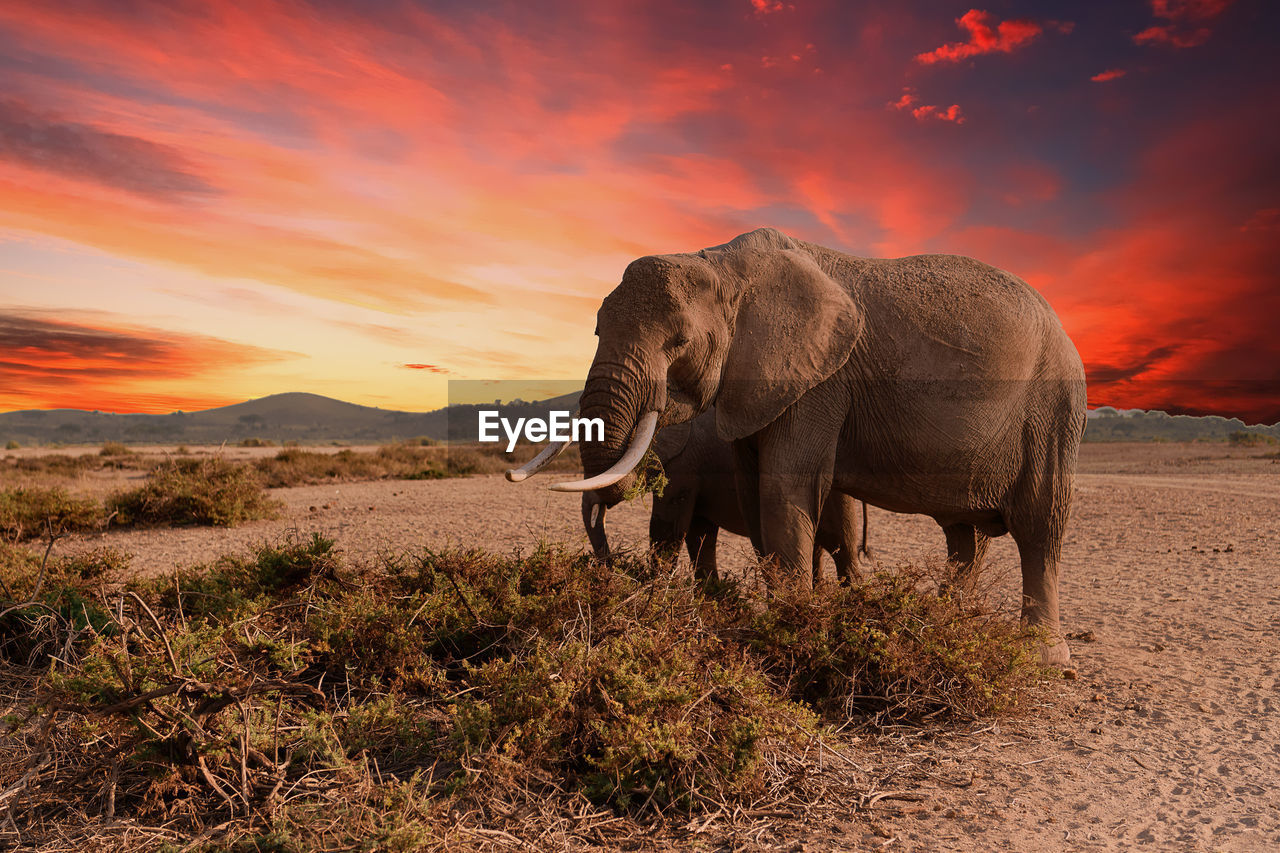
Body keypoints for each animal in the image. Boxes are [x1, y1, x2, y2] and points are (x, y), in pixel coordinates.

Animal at [581, 407, 870, 581]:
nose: (608, 566)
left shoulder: (683, 466)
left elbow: (668, 529)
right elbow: (699, 534)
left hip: (835, 496)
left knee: (841, 549)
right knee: (818, 551)